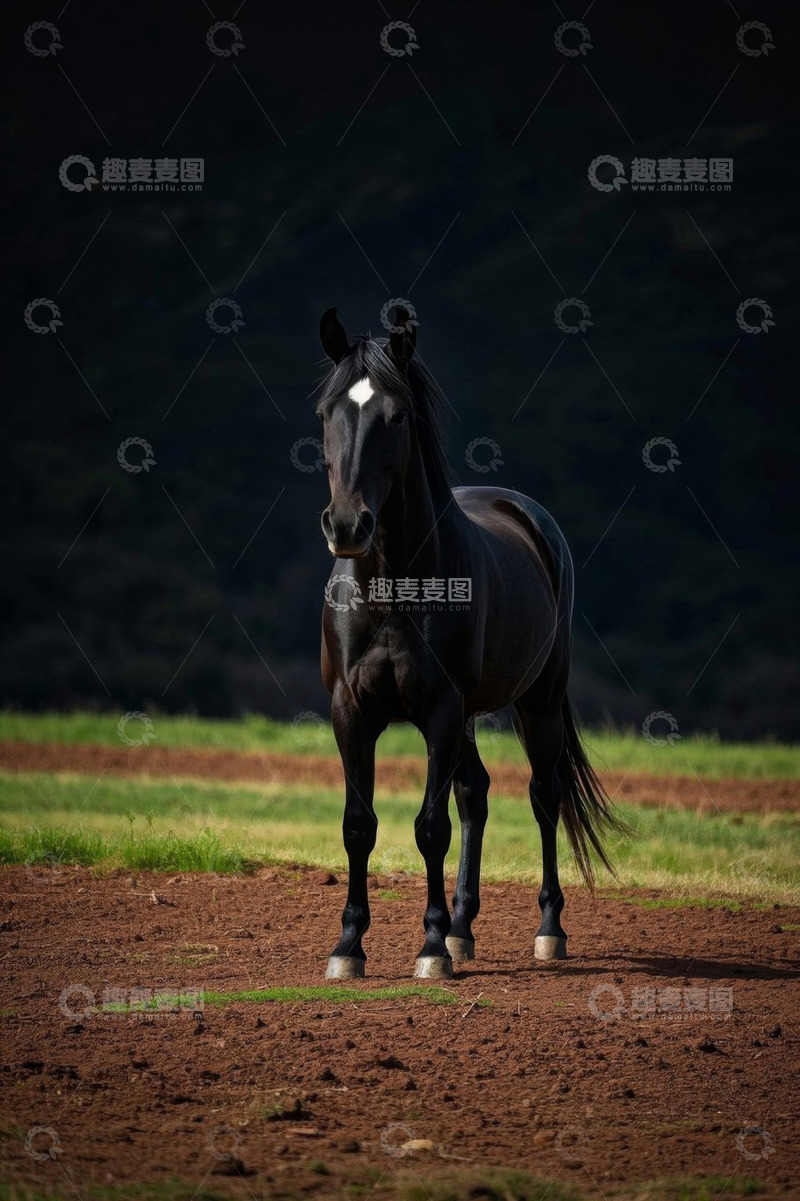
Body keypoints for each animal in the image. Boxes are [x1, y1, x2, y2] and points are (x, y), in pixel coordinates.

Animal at [316, 305, 621, 980]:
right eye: (326, 411)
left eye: (397, 415)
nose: (347, 526)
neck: (394, 590)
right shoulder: (350, 711)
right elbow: (358, 825)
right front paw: (349, 946)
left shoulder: (440, 710)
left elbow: (430, 827)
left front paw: (429, 949)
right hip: (472, 718)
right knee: (474, 794)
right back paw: (462, 929)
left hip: (536, 703)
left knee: (542, 796)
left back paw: (547, 930)